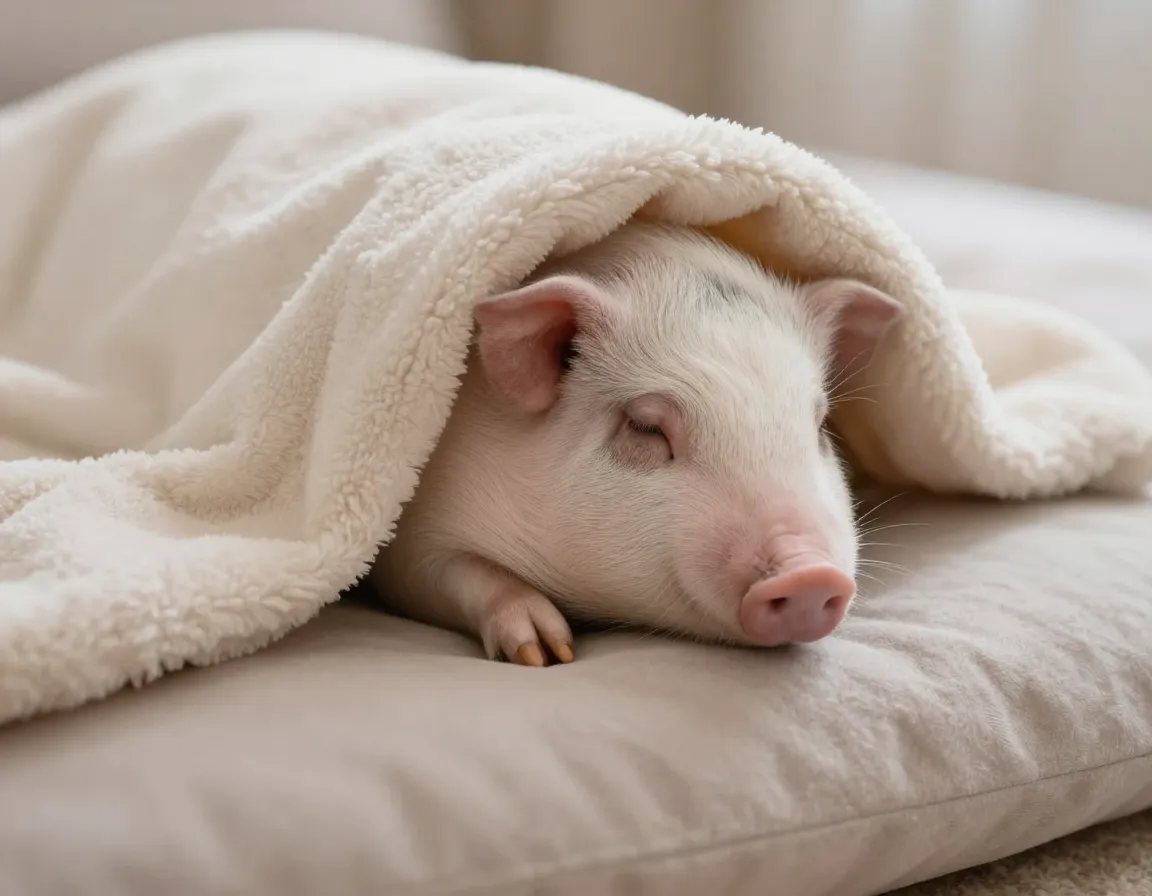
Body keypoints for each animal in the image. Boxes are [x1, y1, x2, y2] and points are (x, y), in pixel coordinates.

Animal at [369, 220, 902, 666]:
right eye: (645, 428)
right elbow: (446, 570)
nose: (810, 575)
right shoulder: (412, 526)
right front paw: (545, 652)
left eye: (820, 427)